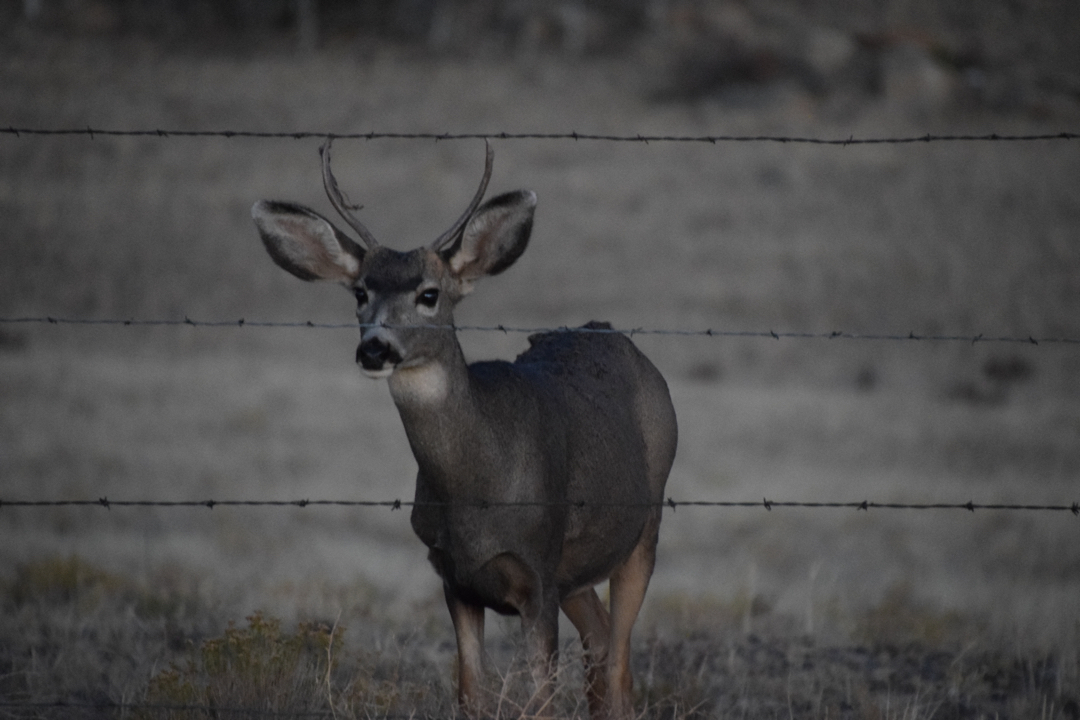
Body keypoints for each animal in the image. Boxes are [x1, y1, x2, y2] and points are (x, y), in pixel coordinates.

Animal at [250, 142, 673, 720]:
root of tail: (616, 337)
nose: (374, 348)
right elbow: (470, 692)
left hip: (643, 527)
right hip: (577, 571)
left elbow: (540, 701)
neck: (480, 489)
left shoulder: (538, 570)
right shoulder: (454, 577)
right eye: (360, 293)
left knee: (620, 662)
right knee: (601, 639)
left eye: (429, 294)